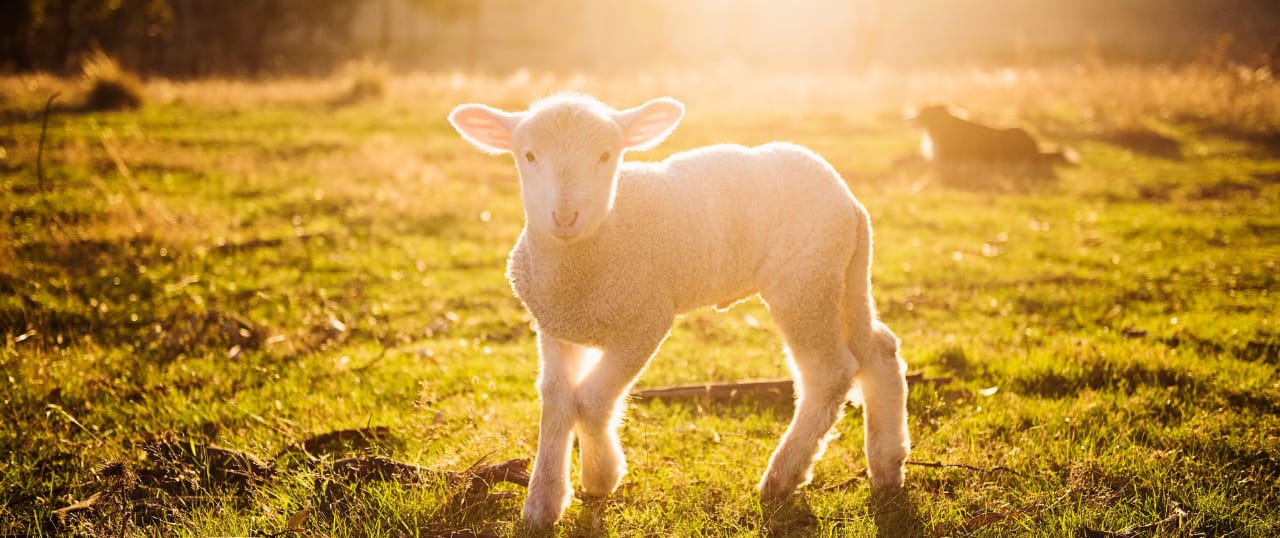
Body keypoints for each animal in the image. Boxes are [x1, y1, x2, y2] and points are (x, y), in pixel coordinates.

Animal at [448, 94, 911, 527]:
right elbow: (556, 398)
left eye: (606, 155)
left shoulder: (645, 320)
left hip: (804, 282)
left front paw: (600, 476)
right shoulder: (556, 326)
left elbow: (591, 400)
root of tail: (849, 200)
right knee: (879, 350)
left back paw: (782, 477)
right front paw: (543, 502)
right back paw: (888, 465)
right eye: (528, 155)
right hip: (844, 276)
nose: (564, 216)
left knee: (828, 373)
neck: (591, 250)